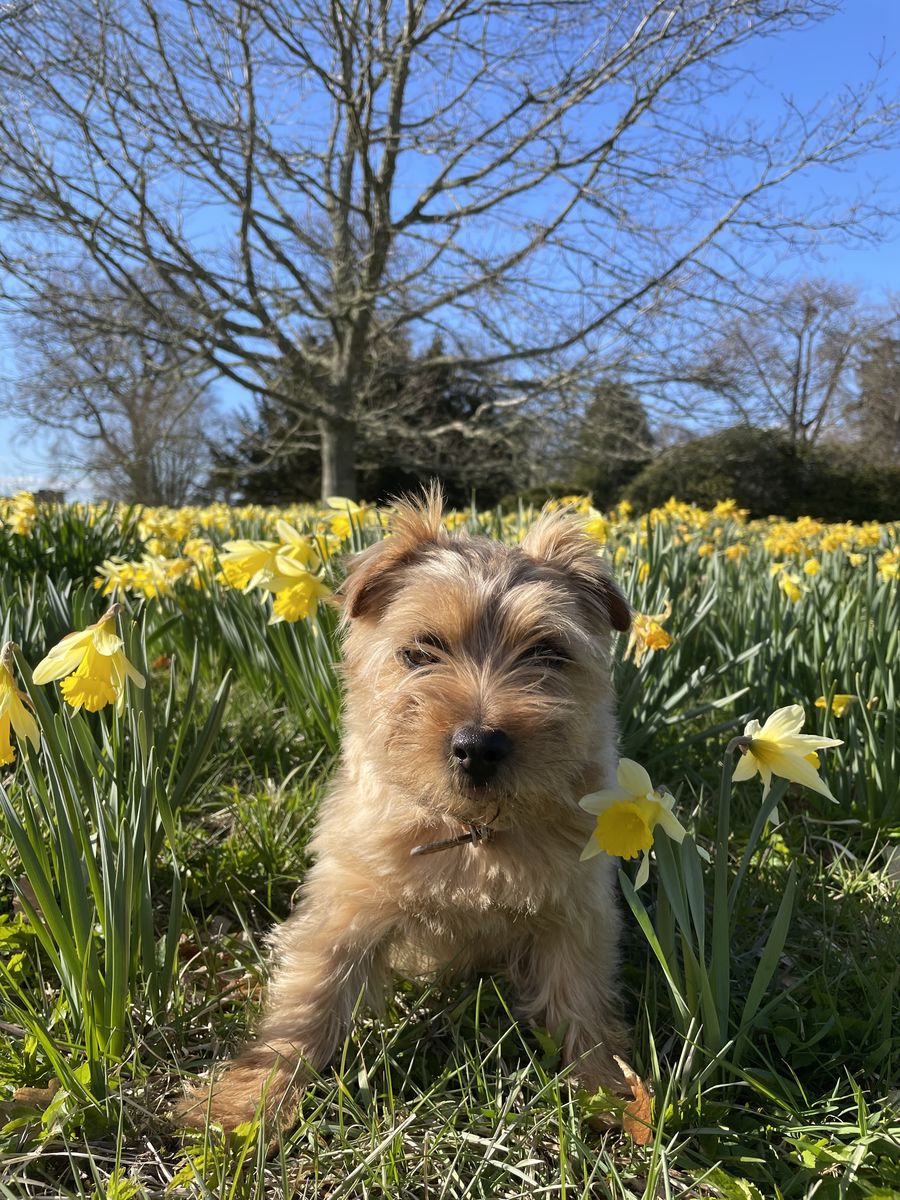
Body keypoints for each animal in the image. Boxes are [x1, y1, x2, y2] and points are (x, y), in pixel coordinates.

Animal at [177, 484, 633, 1123]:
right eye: (422, 651)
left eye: (546, 652)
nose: (478, 746)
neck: (471, 833)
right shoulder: (346, 903)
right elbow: (307, 1002)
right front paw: (244, 1105)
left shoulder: (577, 911)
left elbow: (581, 1003)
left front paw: (612, 1091)